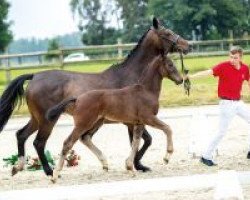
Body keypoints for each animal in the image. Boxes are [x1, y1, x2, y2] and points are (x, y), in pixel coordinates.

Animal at [0, 17, 188, 177]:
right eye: (167, 33)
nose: (187, 46)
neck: (134, 76)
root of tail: (34, 76)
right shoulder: (131, 120)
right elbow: (144, 140)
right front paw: (137, 164)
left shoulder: (134, 119)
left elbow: (143, 140)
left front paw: (137, 164)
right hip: (48, 120)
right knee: (39, 142)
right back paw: (49, 171)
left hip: (38, 118)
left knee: (21, 135)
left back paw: (18, 167)